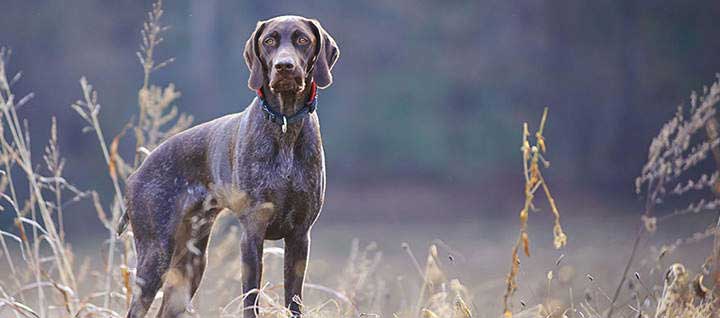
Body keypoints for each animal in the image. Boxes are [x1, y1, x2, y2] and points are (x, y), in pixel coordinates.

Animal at [120, 15, 338, 318]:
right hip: (155, 255)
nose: (284, 66)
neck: (284, 124)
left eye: (303, 40)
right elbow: (251, 300)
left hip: (190, 265)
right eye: (269, 40)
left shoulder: (299, 237)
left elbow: (294, 302)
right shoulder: (252, 234)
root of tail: (136, 174)